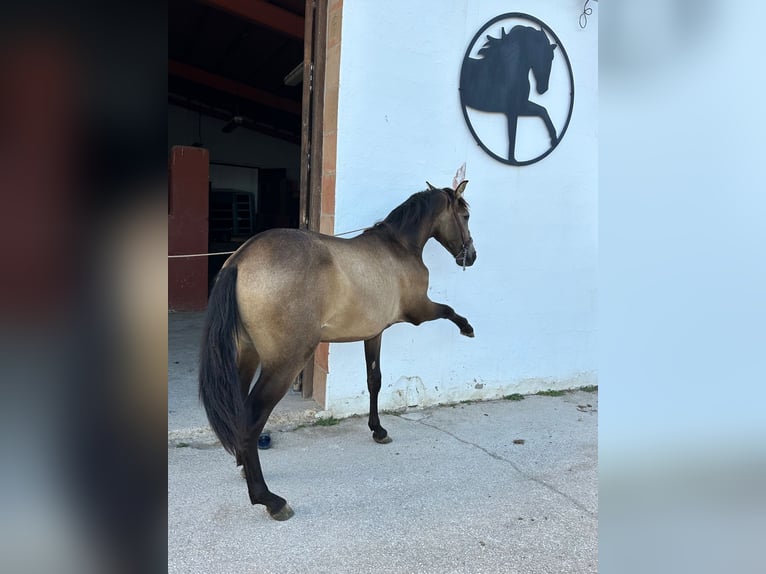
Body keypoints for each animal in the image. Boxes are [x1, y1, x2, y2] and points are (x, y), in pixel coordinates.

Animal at [198, 181, 476, 520]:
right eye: (465, 215)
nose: (471, 256)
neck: (398, 247)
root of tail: (240, 259)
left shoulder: (374, 334)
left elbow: (374, 381)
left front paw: (378, 430)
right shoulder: (419, 311)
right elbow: (449, 310)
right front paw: (467, 327)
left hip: (246, 356)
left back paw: (243, 466)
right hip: (283, 365)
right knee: (251, 419)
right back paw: (268, 498)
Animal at [462, 25, 560, 163]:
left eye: (552, 57)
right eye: (545, 55)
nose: (543, 89)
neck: (508, 71)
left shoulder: (521, 105)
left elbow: (543, 110)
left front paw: (554, 139)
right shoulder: (513, 109)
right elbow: (512, 135)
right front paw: (512, 160)